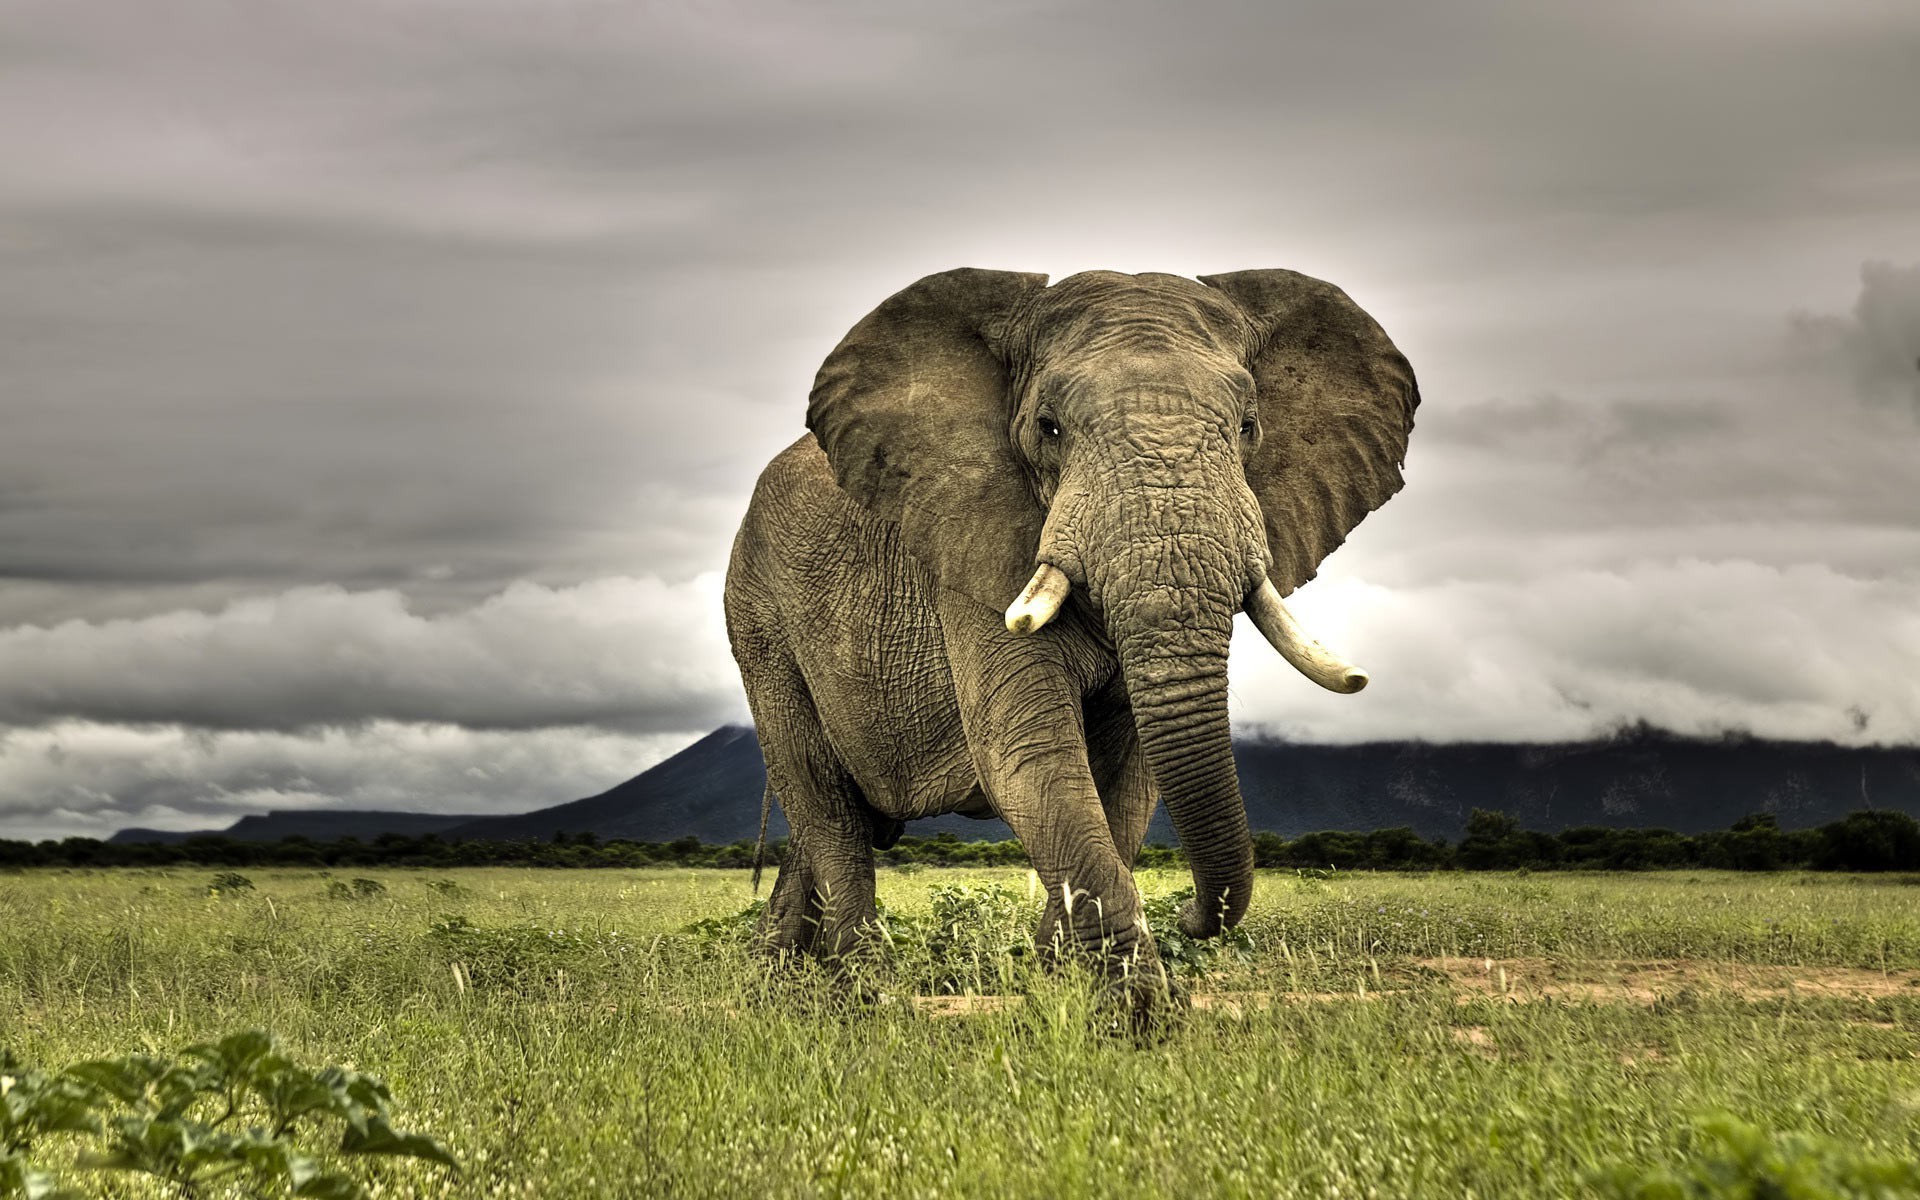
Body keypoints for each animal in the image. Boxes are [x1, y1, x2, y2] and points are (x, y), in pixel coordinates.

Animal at [721, 266, 1413, 1006]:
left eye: (1249, 427)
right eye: (1047, 428)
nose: (1195, 917)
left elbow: (1130, 779)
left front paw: (1059, 984)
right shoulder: (971, 549)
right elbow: (1029, 753)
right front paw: (1136, 1014)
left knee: (823, 822)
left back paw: (777, 978)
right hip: (759, 618)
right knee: (825, 804)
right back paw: (865, 996)